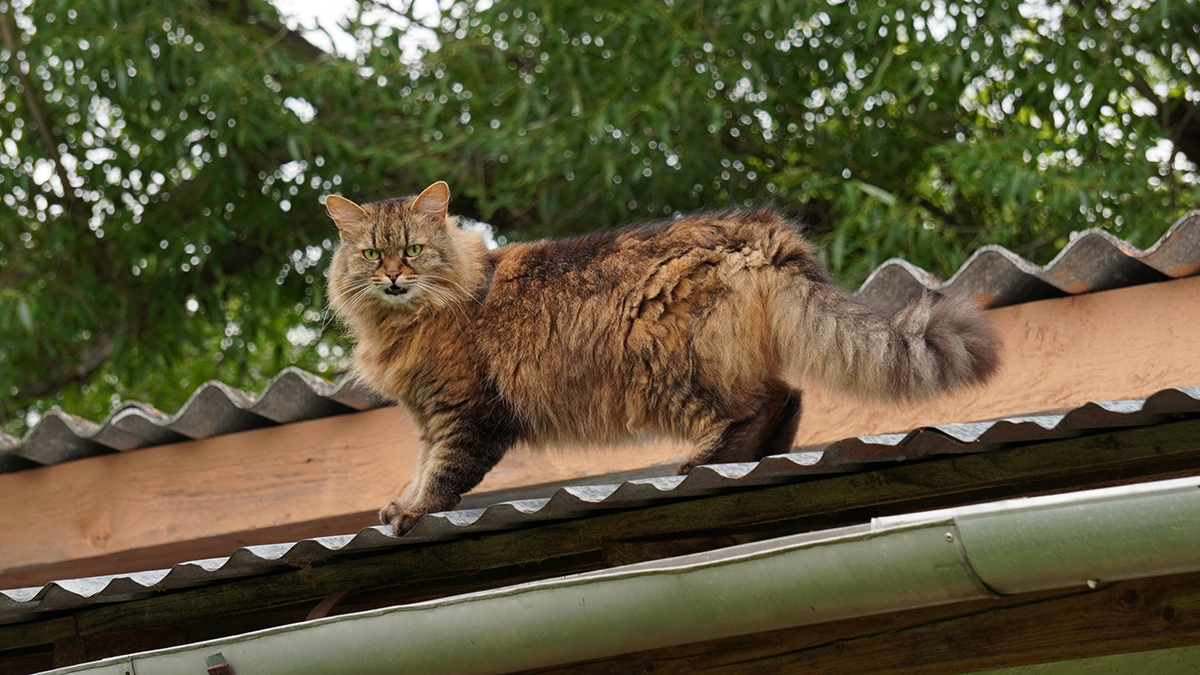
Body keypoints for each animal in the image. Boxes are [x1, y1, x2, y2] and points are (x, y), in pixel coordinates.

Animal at [324, 181, 998, 533]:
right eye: (372, 254)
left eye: (412, 250)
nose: (392, 276)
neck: (404, 322)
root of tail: (762, 229)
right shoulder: (427, 416)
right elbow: (421, 466)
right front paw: (403, 502)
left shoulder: (465, 412)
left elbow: (443, 473)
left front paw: (413, 512)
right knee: (787, 398)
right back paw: (755, 457)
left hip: (667, 367)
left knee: (759, 403)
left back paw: (705, 461)